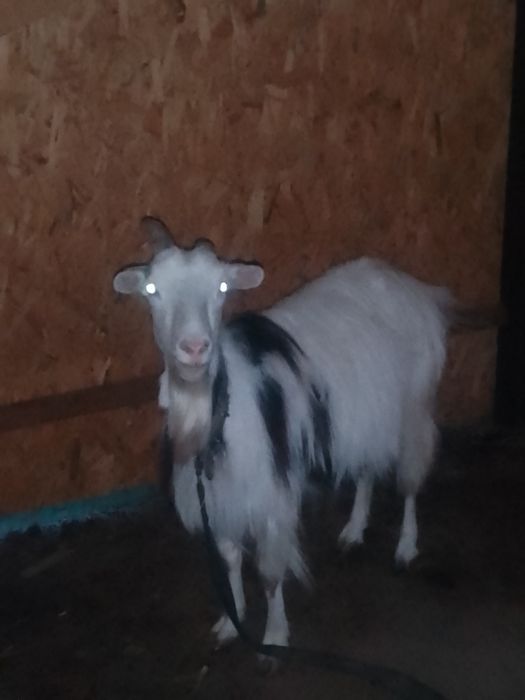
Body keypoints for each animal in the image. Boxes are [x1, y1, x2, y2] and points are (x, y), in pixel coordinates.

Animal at [113, 216, 455, 650]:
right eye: (152, 290)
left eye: (222, 287)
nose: (194, 347)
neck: (223, 413)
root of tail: (412, 287)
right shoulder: (222, 498)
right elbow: (229, 558)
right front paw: (231, 621)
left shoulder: (270, 497)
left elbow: (270, 574)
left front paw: (274, 637)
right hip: (367, 413)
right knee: (366, 467)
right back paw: (353, 530)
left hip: (413, 405)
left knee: (410, 478)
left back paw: (406, 547)